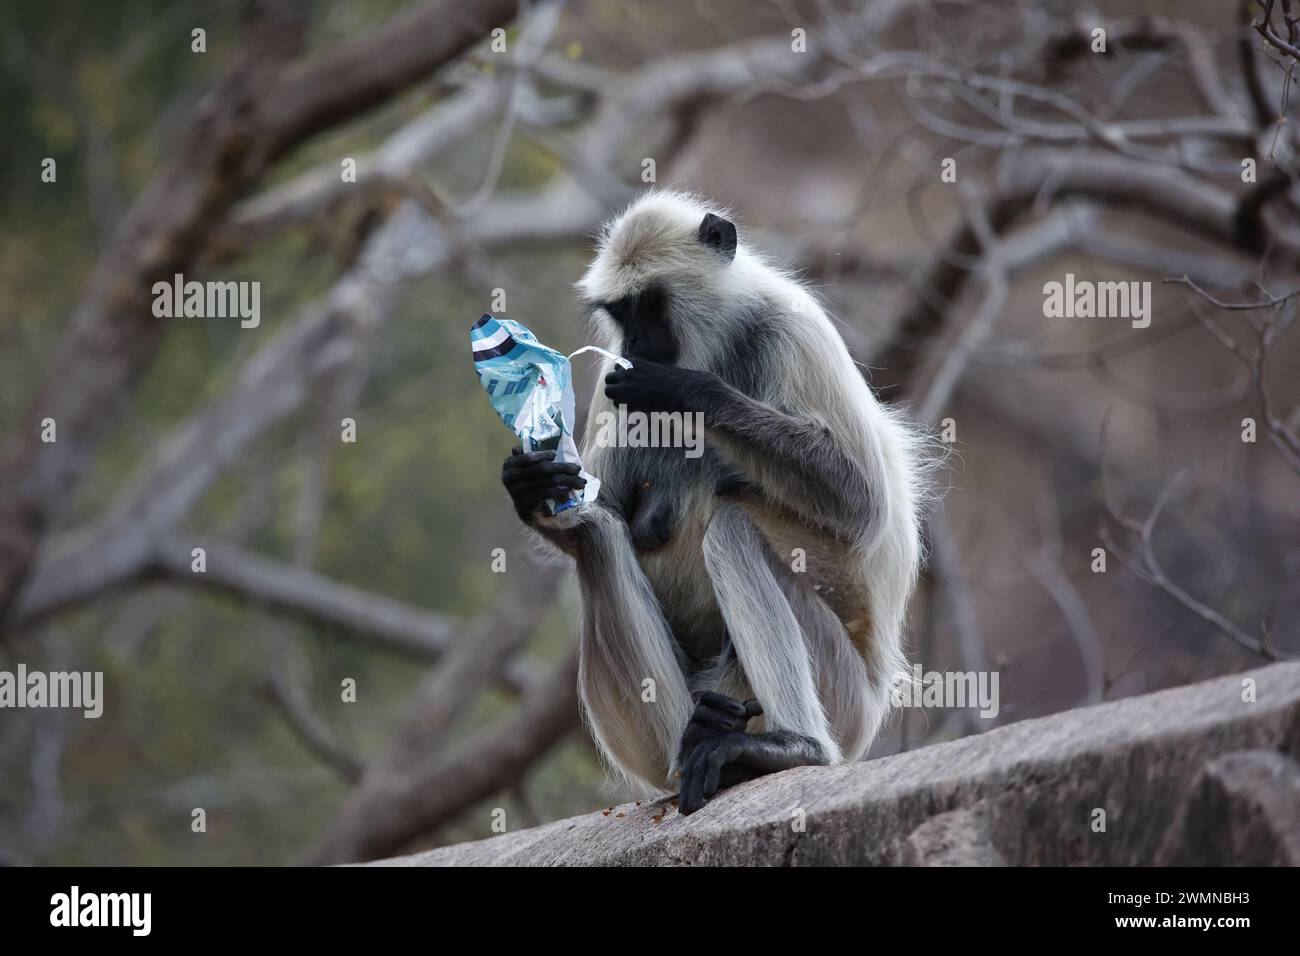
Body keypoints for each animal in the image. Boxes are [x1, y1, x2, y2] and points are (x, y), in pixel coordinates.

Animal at [499, 192, 935, 816]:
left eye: (650, 305)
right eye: (620, 314)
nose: (635, 345)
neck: (716, 347)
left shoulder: (793, 327)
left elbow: (862, 503)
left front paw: (684, 392)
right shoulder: (613, 372)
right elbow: (597, 507)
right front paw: (533, 487)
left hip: (844, 698)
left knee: (732, 528)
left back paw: (789, 748)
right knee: (597, 539)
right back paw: (695, 744)